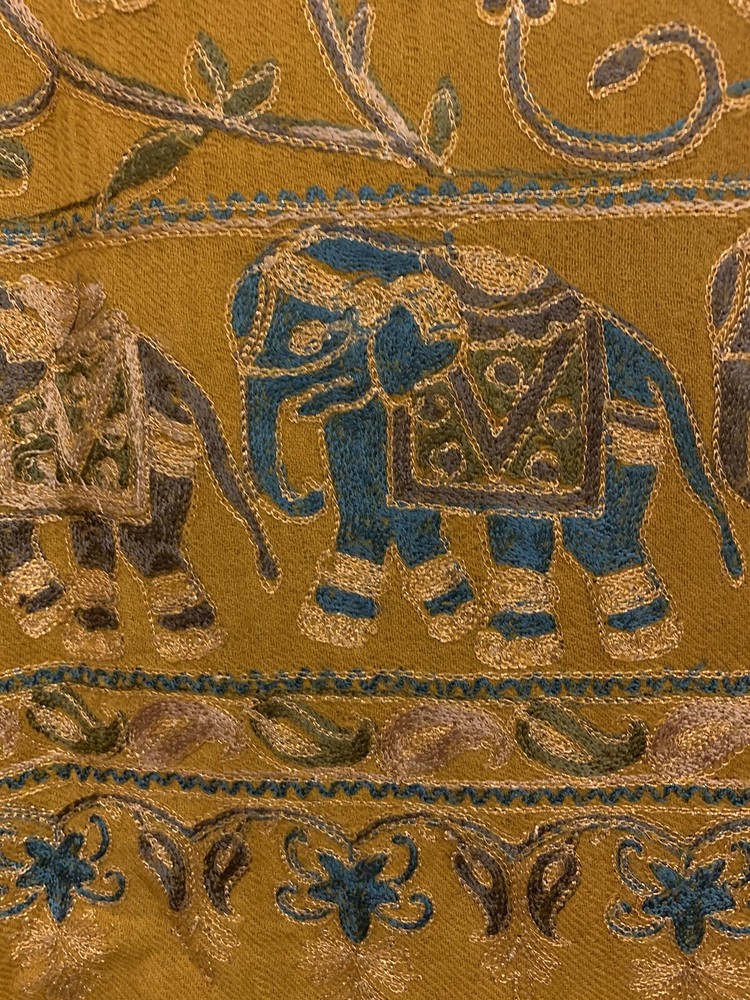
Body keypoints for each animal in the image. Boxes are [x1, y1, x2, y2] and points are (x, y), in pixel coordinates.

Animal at [232, 223, 743, 669]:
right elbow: (389, 509)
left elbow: (375, 510)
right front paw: (452, 616)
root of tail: (646, 355)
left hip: (614, 422)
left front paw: (335, 622)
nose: (309, 493)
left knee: (594, 536)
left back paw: (613, 644)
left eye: (305, 340)